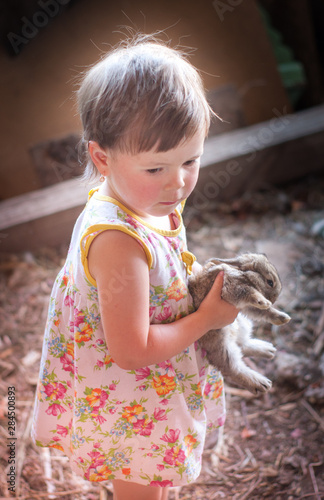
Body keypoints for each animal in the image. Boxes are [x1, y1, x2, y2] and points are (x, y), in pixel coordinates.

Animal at [187, 254, 292, 394]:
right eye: (270, 282)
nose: (273, 300)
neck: (245, 275)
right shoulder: (233, 288)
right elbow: (250, 293)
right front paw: (263, 301)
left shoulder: (246, 307)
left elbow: (264, 312)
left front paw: (283, 318)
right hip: (222, 346)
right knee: (232, 368)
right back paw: (261, 383)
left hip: (242, 324)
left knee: (242, 344)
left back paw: (268, 350)